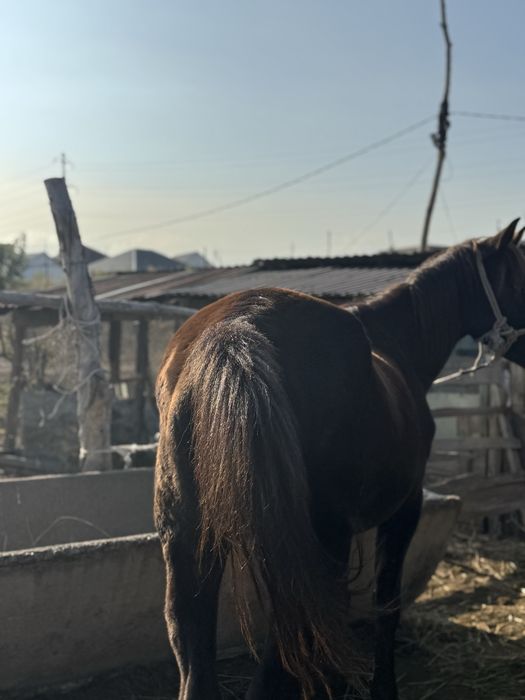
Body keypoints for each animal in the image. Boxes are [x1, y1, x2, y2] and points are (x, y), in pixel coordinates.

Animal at [154, 220, 525, 700]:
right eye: (519, 276)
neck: (397, 346)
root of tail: (238, 326)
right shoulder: (405, 510)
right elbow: (387, 606)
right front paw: (383, 687)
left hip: (188, 545)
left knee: (194, 655)